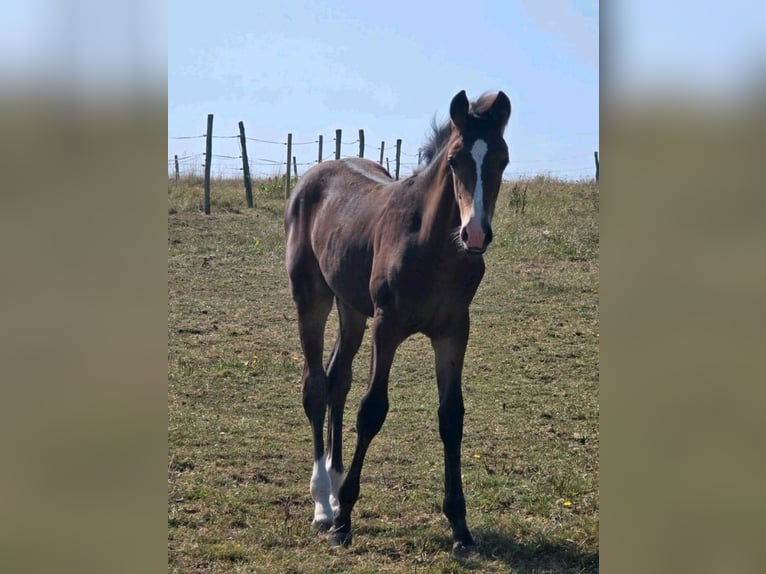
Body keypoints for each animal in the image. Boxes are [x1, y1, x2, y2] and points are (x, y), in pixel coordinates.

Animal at [284, 91, 512, 560]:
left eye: (502, 159)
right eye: (456, 160)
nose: (475, 234)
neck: (433, 246)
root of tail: (313, 174)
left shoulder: (453, 332)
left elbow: (451, 417)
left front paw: (460, 527)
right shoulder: (386, 327)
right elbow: (372, 410)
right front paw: (345, 521)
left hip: (352, 307)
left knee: (337, 379)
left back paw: (334, 484)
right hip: (312, 298)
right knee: (315, 387)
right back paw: (323, 504)